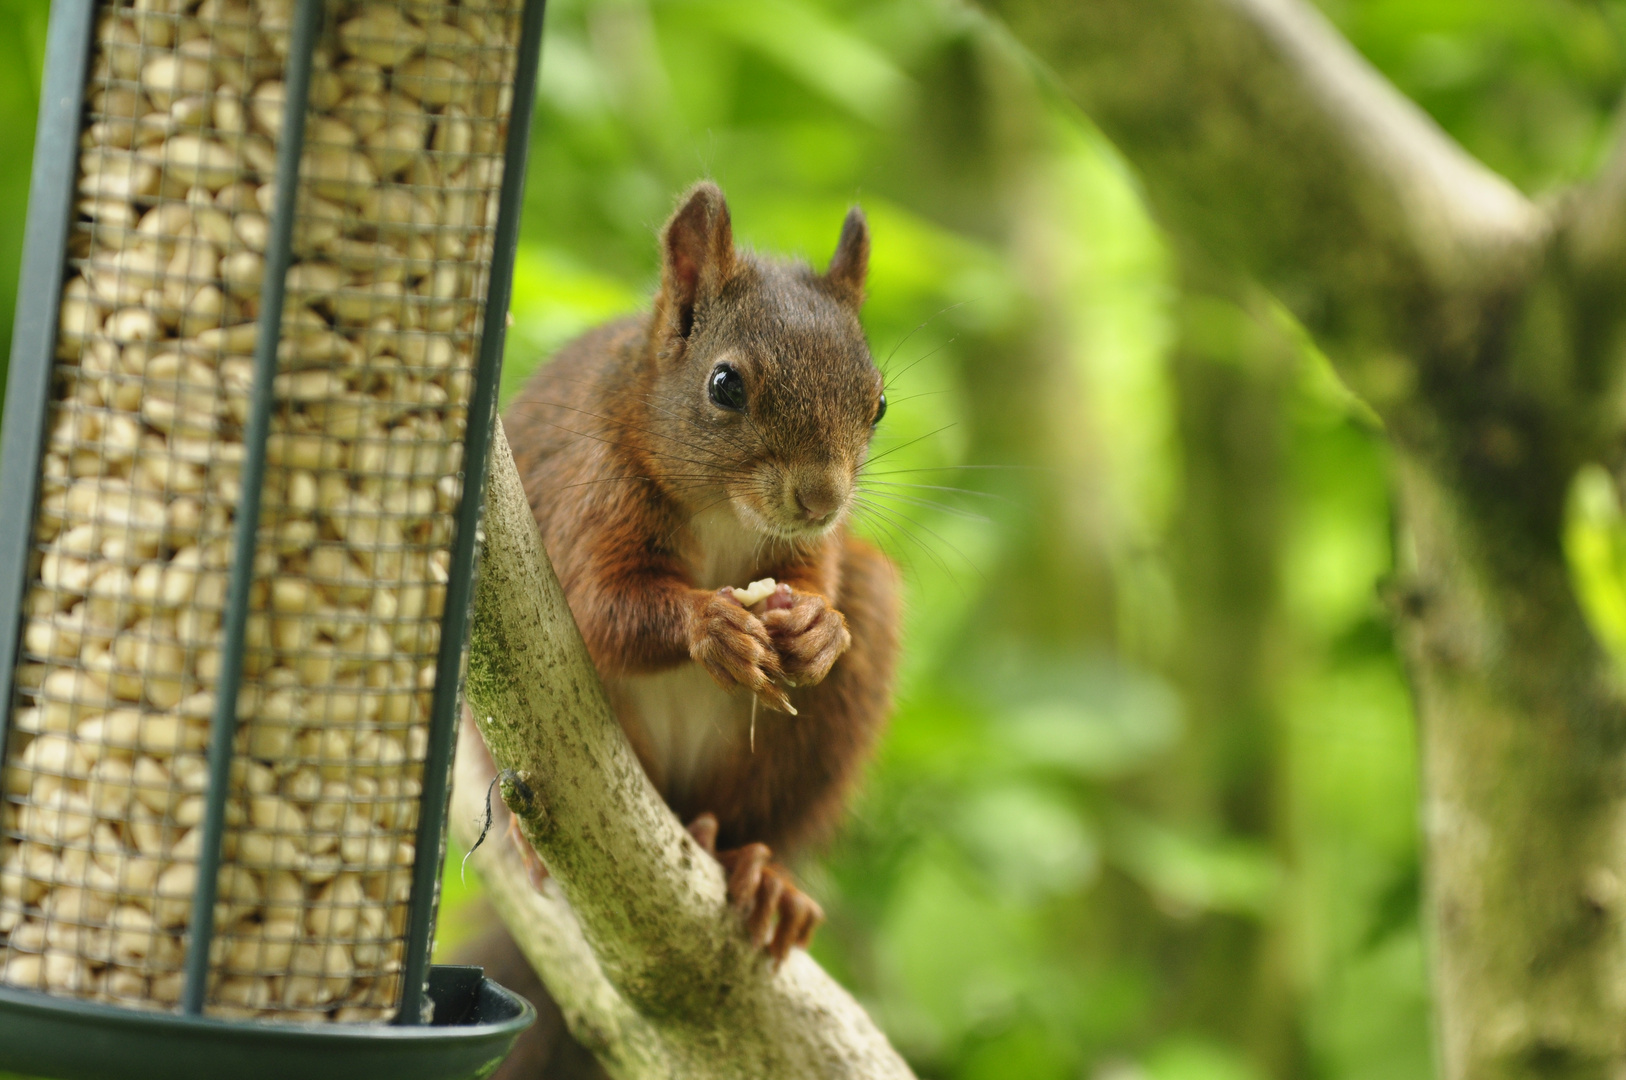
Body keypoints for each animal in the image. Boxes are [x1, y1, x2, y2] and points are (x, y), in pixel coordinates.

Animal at [500, 185, 904, 962]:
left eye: (878, 403)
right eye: (725, 385)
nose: (823, 500)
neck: (725, 513)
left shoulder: (812, 551)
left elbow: (815, 583)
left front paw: (819, 628)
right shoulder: (585, 494)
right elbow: (596, 609)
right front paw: (711, 623)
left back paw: (758, 871)